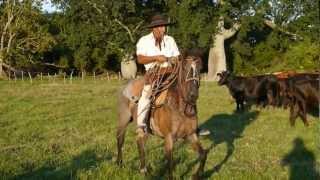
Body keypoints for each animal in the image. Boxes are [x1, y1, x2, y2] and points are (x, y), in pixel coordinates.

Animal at [117, 50, 208, 179]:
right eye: (184, 68)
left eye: (200, 69)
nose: (193, 95)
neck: (180, 108)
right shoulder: (169, 138)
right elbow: (170, 163)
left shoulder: (191, 135)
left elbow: (203, 154)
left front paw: (196, 175)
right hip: (123, 120)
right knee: (120, 139)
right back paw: (120, 164)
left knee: (140, 142)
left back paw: (143, 170)